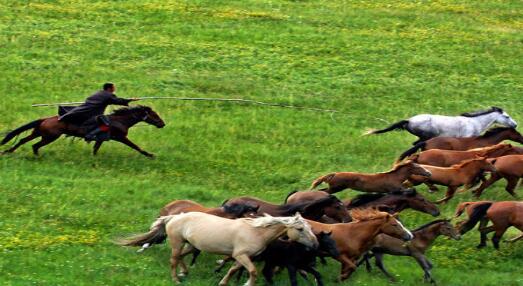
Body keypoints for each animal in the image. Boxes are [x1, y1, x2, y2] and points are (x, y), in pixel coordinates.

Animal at [1, 105, 165, 158]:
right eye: (155, 115)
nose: (162, 124)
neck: (119, 120)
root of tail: (45, 119)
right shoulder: (120, 137)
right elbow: (136, 146)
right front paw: (150, 155)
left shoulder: (101, 139)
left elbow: (95, 148)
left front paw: (93, 158)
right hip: (49, 137)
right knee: (34, 145)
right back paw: (36, 156)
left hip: (39, 133)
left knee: (23, 140)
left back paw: (8, 151)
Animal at [119, 212, 320, 286]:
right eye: (300, 229)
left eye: (309, 227)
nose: (316, 245)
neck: (256, 231)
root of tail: (173, 217)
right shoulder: (242, 255)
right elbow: (253, 272)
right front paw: (248, 284)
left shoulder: (240, 257)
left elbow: (232, 270)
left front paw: (223, 282)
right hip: (177, 242)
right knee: (174, 259)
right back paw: (176, 279)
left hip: (191, 245)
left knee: (182, 257)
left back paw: (185, 273)